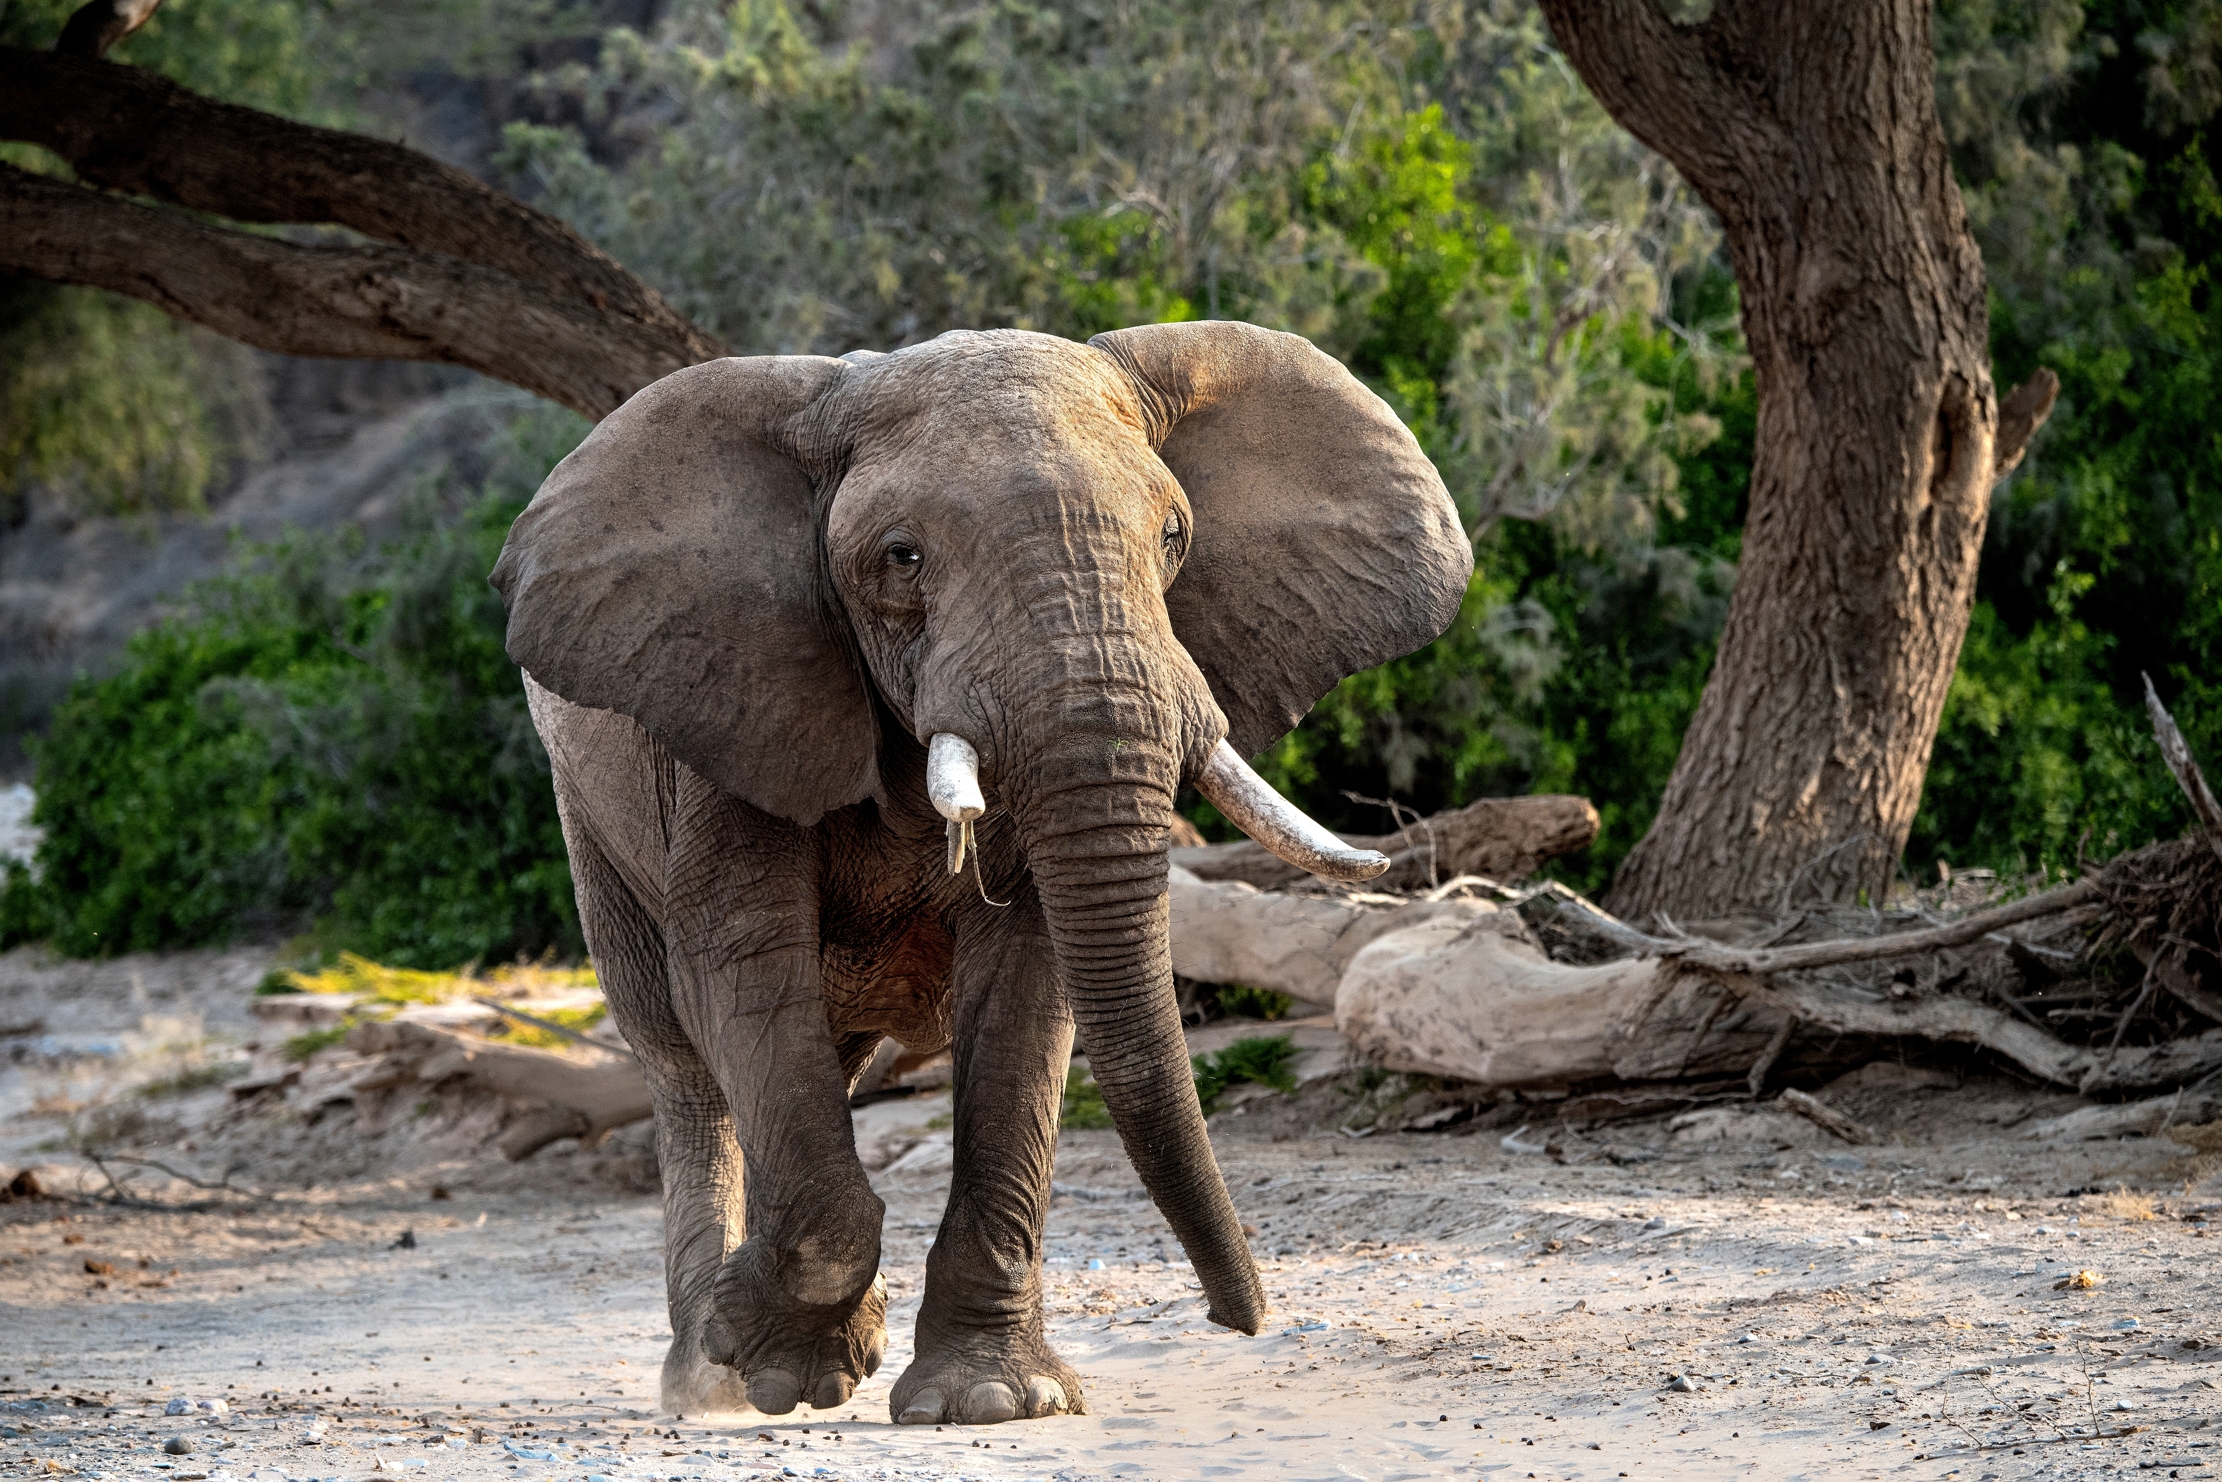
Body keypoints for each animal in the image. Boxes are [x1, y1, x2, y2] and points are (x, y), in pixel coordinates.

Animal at [489, 320, 1472, 1427]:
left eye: (1175, 537)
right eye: (900, 556)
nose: (1240, 1320)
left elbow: (1024, 992)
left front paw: (995, 1400)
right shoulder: (732, 695)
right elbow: (740, 970)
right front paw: (766, 1358)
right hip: (588, 808)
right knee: (682, 1057)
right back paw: (710, 1377)